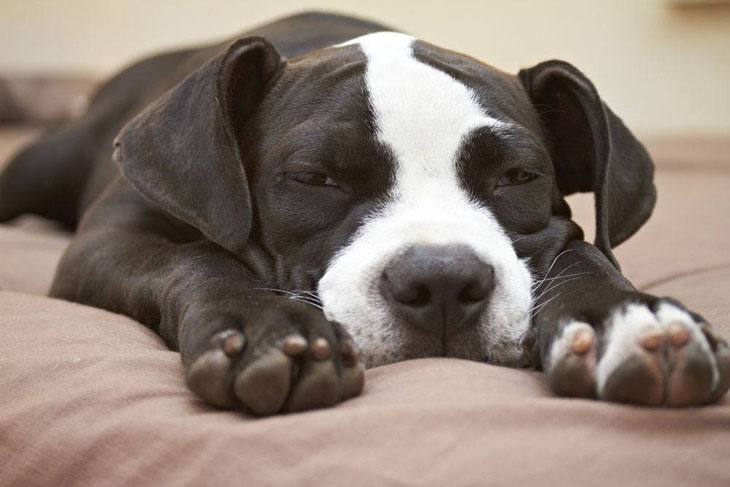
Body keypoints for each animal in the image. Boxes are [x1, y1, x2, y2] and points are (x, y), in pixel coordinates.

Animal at [1, 12, 728, 416]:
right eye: (314, 178)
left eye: (518, 177)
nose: (442, 281)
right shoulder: (111, 236)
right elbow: (199, 257)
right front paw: (265, 325)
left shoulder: (559, 233)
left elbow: (583, 250)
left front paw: (623, 317)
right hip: (46, 163)